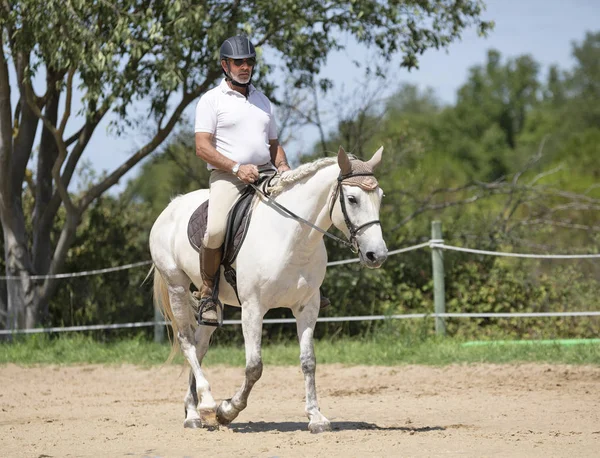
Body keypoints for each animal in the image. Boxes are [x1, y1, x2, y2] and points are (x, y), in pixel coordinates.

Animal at [148, 146, 386, 432]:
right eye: (352, 199)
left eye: (381, 197)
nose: (377, 255)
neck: (291, 236)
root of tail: (172, 206)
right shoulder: (253, 308)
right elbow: (254, 366)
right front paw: (227, 410)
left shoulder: (308, 307)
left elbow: (308, 362)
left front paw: (316, 417)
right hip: (177, 286)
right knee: (186, 342)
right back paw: (203, 408)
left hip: (213, 304)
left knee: (199, 344)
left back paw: (194, 408)